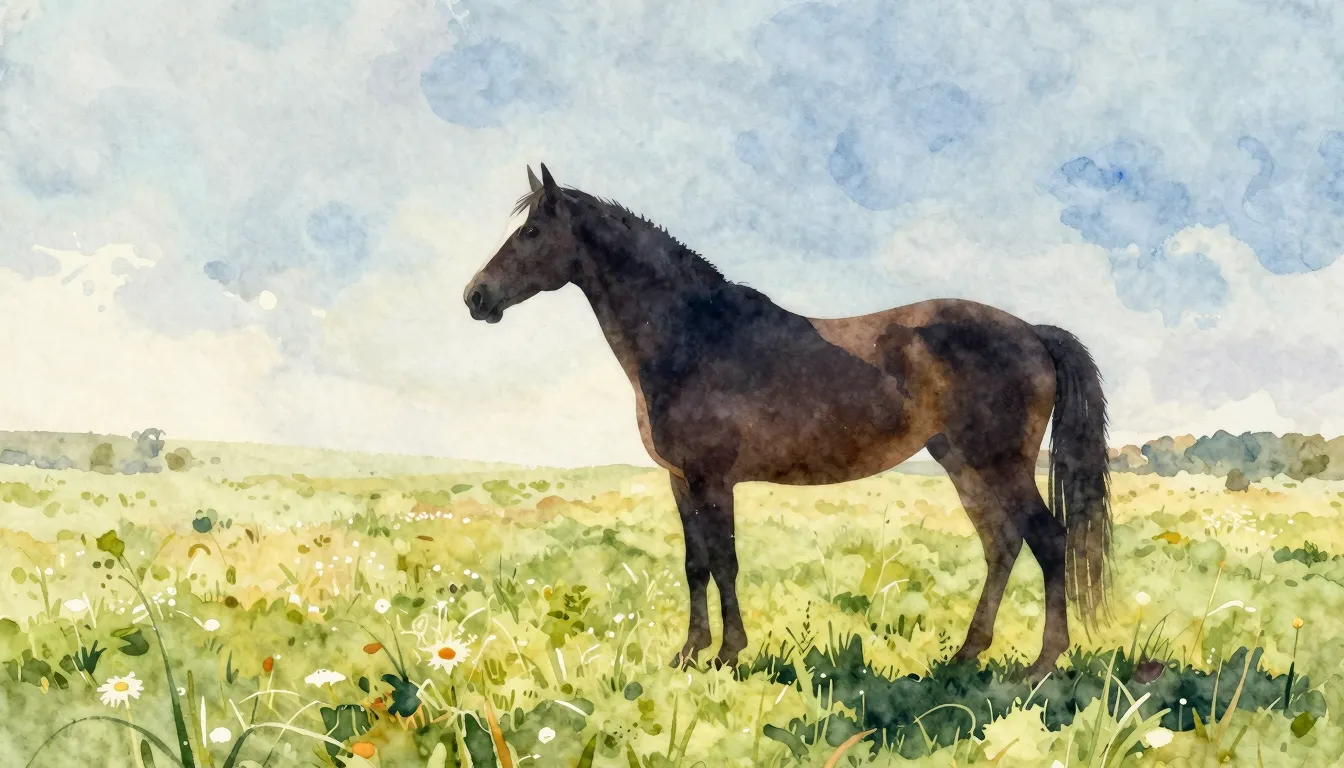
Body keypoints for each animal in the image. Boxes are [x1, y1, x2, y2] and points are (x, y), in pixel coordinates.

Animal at [464, 164, 1112, 680]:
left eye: (531, 232)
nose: (476, 296)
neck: (695, 334)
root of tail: (1032, 332)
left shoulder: (712, 479)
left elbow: (724, 562)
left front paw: (728, 653)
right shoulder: (680, 481)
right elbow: (695, 565)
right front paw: (688, 653)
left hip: (999, 465)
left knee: (1048, 541)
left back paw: (1041, 664)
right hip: (961, 464)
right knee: (1001, 545)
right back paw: (966, 654)